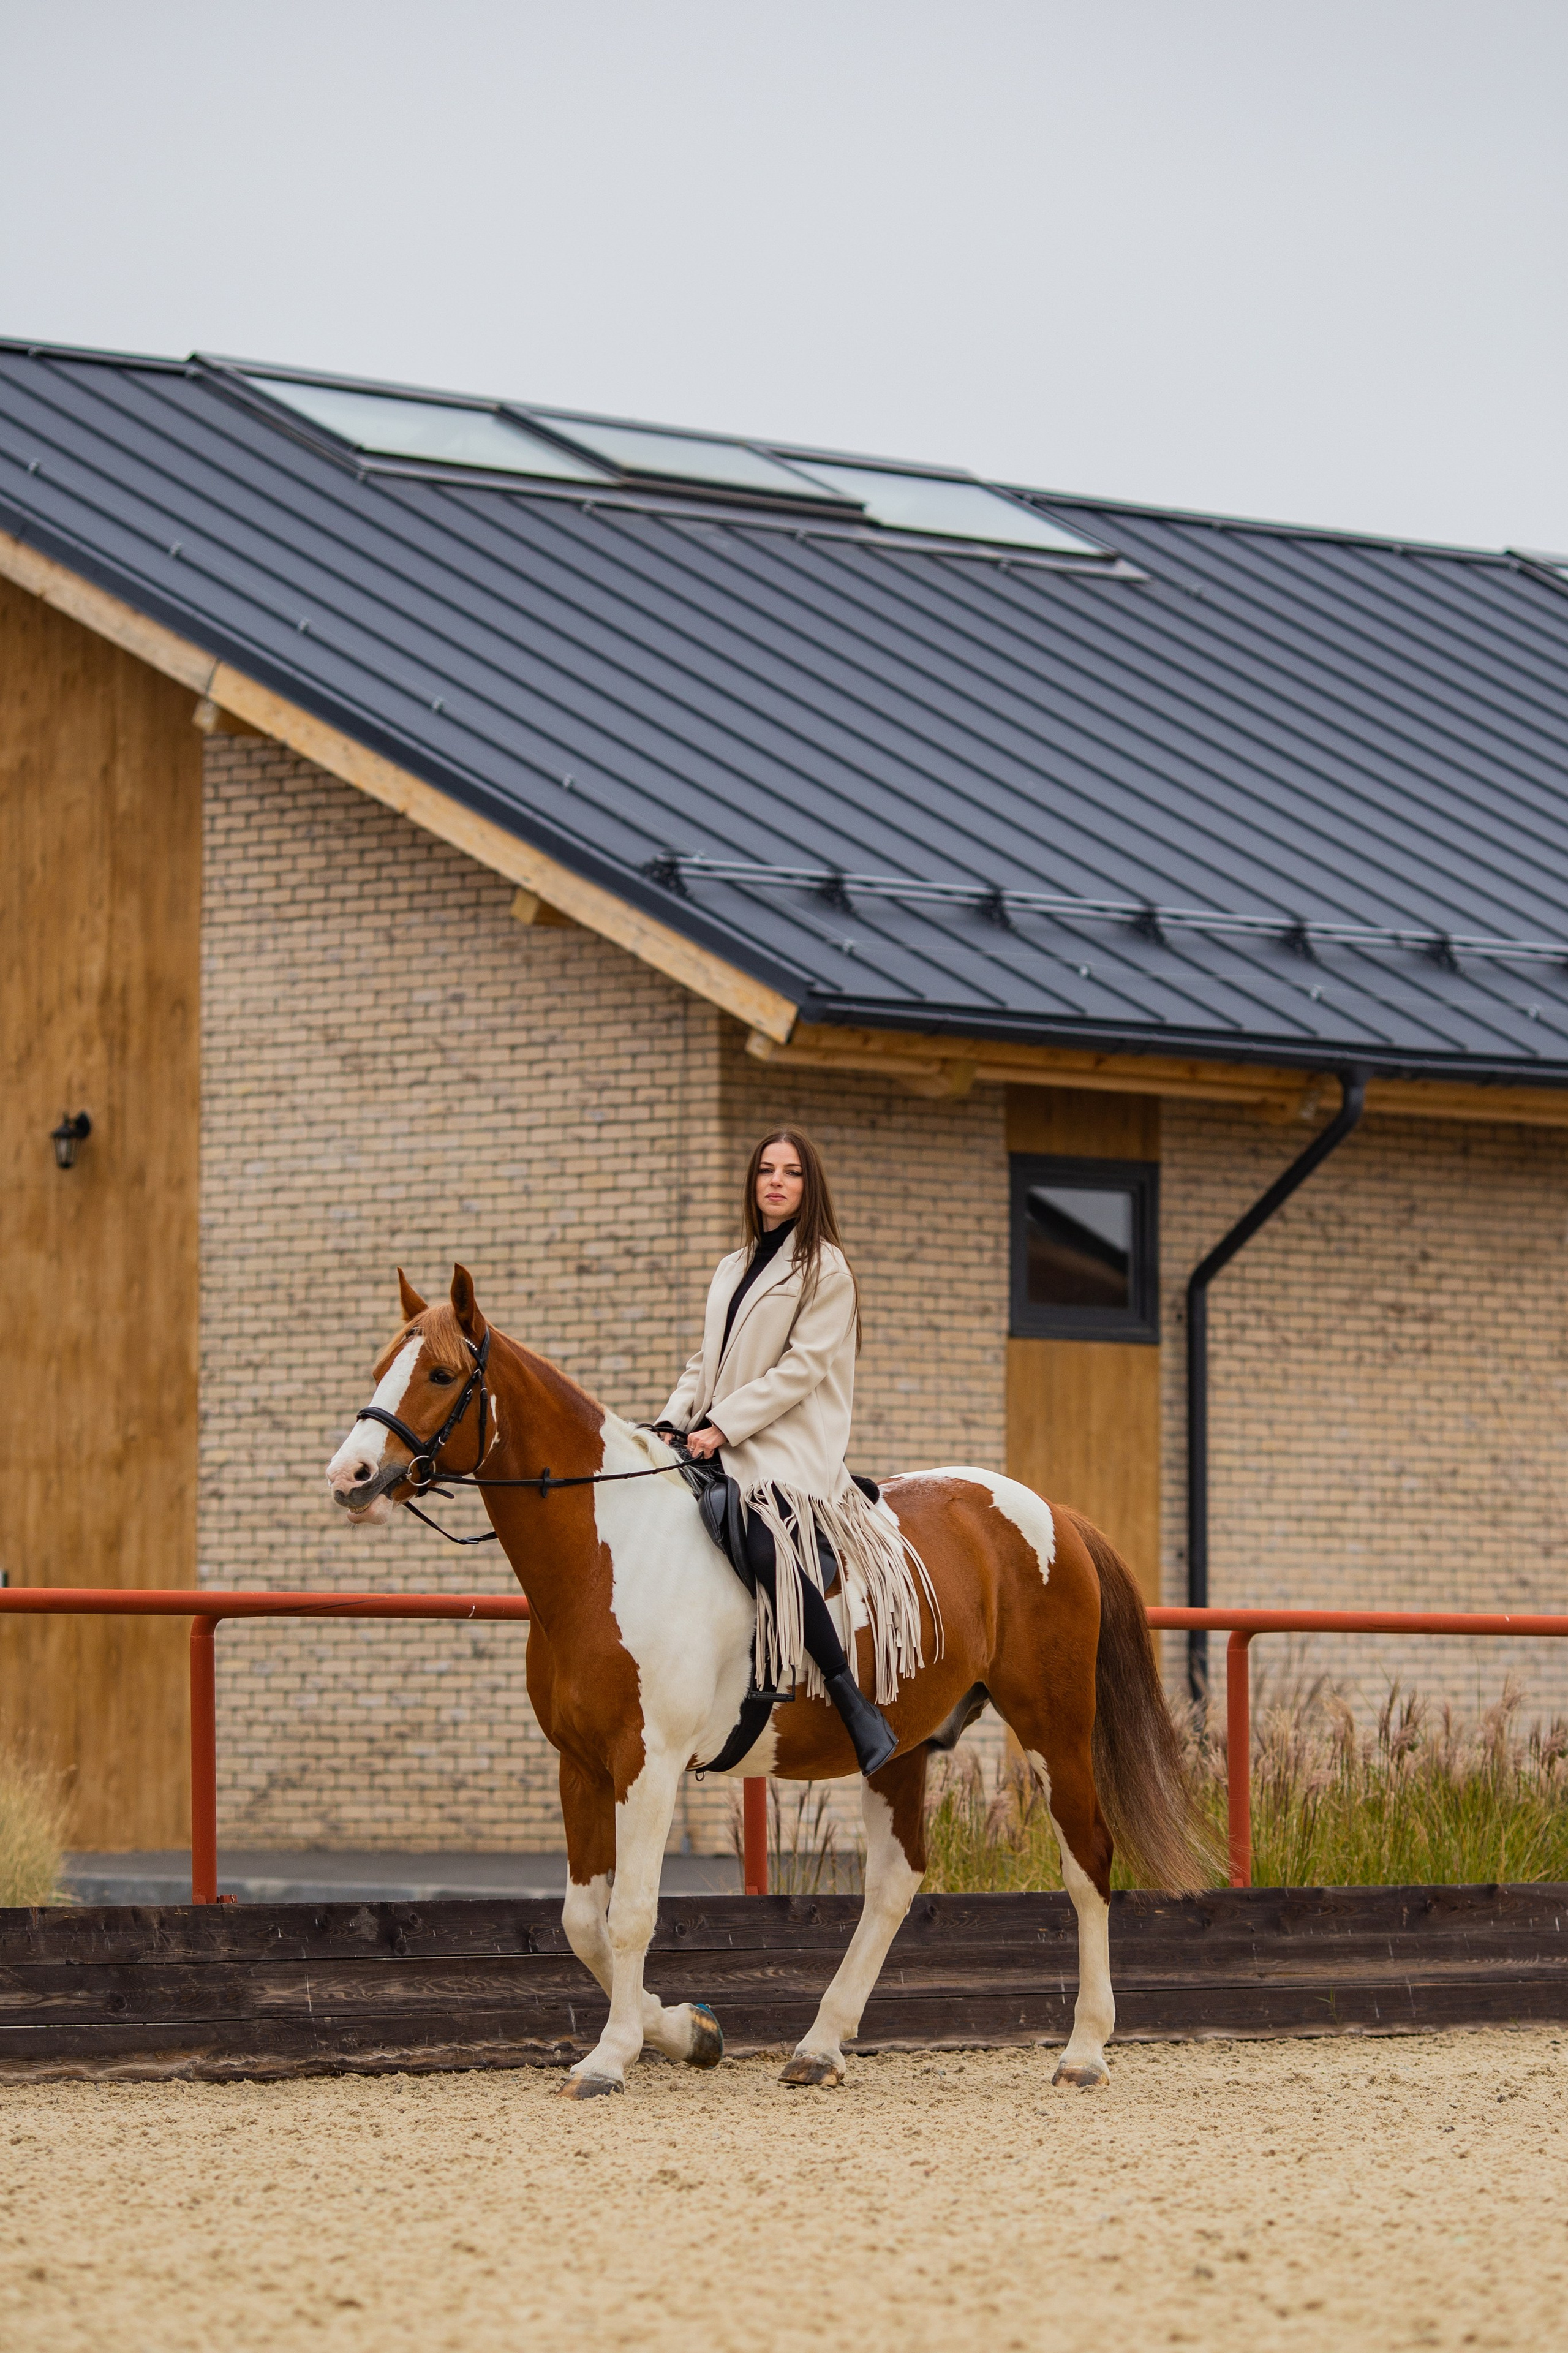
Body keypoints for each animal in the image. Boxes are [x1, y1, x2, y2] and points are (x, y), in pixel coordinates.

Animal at [325, 1265, 1207, 2099]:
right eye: (376, 1367)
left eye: (441, 1373)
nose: (351, 1476)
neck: (611, 1550)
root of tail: (1053, 1512)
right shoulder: (580, 1765)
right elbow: (582, 1920)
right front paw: (687, 2031)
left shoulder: (647, 1764)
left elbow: (631, 1915)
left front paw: (610, 2059)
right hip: (902, 1749)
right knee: (894, 1881)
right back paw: (820, 2046)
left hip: (1054, 1728)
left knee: (1087, 1862)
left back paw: (1084, 2051)